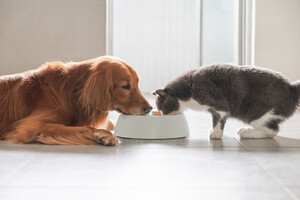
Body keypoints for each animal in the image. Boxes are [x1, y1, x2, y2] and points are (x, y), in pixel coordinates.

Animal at [0, 55, 152, 145]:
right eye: (125, 86)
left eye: (137, 84)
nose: (149, 108)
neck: (72, 92)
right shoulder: (31, 125)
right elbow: (80, 127)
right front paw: (103, 134)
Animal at [154, 64, 300, 139]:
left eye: (163, 108)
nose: (163, 114)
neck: (188, 90)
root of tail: (291, 87)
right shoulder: (214, 109)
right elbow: (216, 121)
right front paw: (213, 131)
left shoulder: (218, 105)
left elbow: (218, 121)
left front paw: (215, 135)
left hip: (256, 112)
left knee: (272, 130)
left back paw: (245, 132)